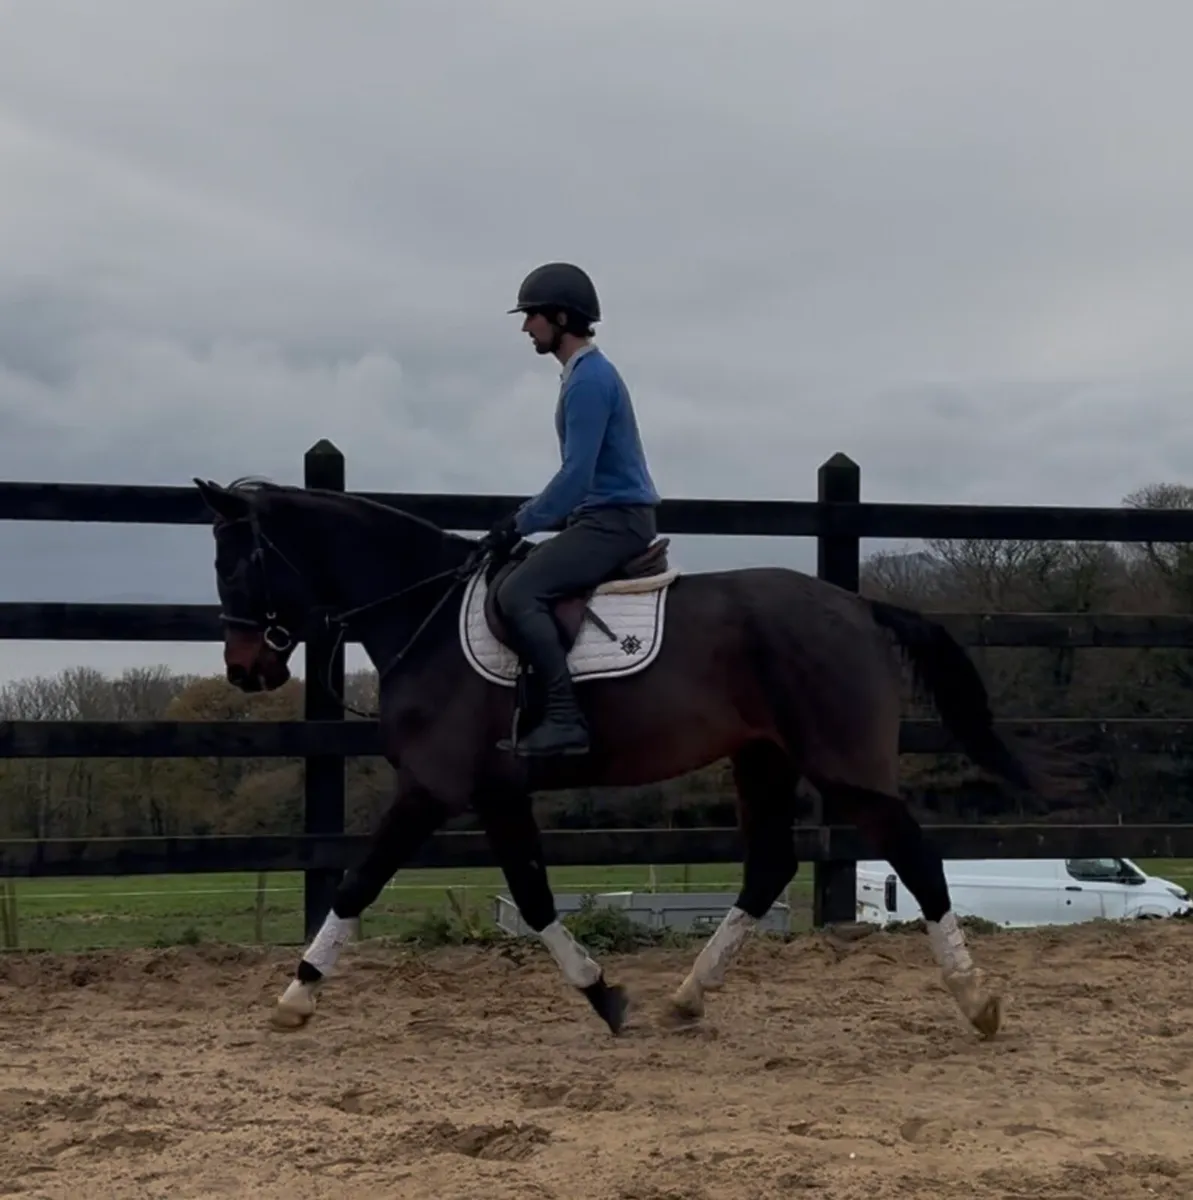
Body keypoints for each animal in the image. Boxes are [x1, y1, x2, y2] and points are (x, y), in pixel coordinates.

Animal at [194, 475, 1072, 1041]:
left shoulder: (435, 787)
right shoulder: (496, 792)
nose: (245, 668)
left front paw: (295, 997)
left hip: (843, 767)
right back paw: (685, 998)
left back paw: (974, 1000)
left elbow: (359, 883)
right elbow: (532, 897)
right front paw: (605, 995)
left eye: (234, 563)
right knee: (768, 867)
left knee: (914, 857)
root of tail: (857, 605)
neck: (424, 614)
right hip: (762, 760)